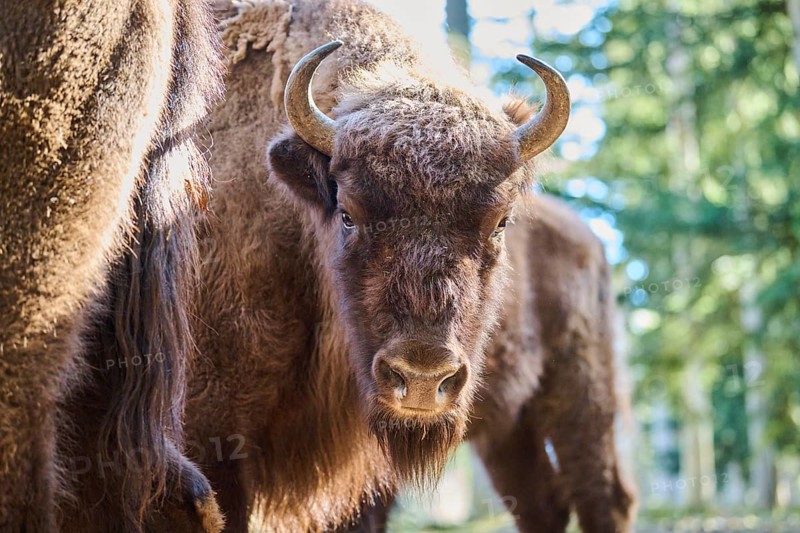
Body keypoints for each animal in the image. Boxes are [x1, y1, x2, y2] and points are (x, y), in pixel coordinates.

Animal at [186, 0, 636, 531]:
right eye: (347, 214)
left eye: (501, 222)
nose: (423, 379)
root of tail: (590, 241)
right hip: (508, 430)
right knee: (541, 501)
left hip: (582, 396)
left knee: (601, 495)